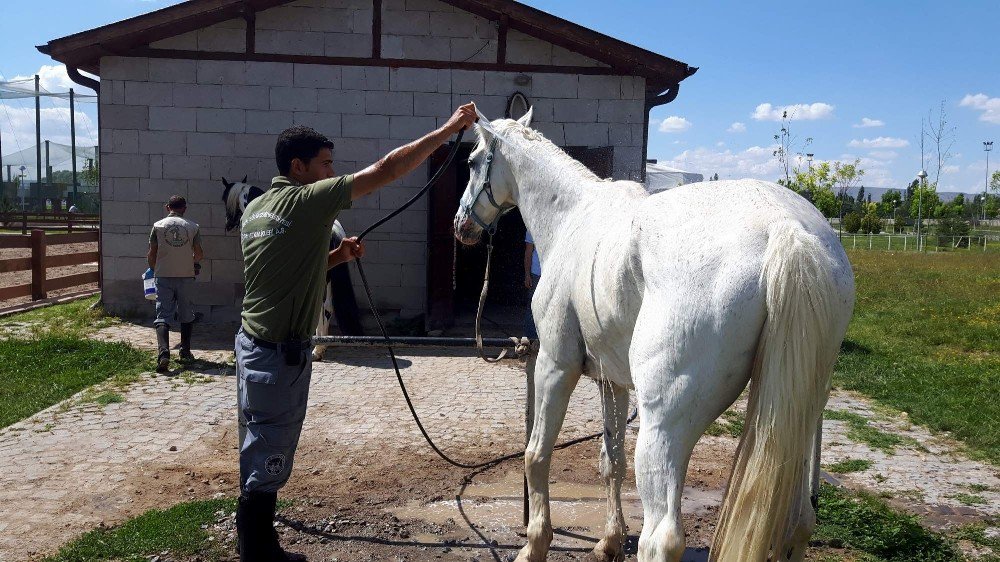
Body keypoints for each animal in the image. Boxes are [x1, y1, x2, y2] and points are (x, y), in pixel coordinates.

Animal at [454, 110, 852, 560]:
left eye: (472, 161)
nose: (461, 225)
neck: (573, 218)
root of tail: (786, 231)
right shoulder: (611, 381)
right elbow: (611, 461)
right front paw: (609, 540)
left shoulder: (555, 365)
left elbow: (536, 455)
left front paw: (534, 544)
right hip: (800, 416)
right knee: (800, 519)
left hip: (663, 429)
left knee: (661, 537)